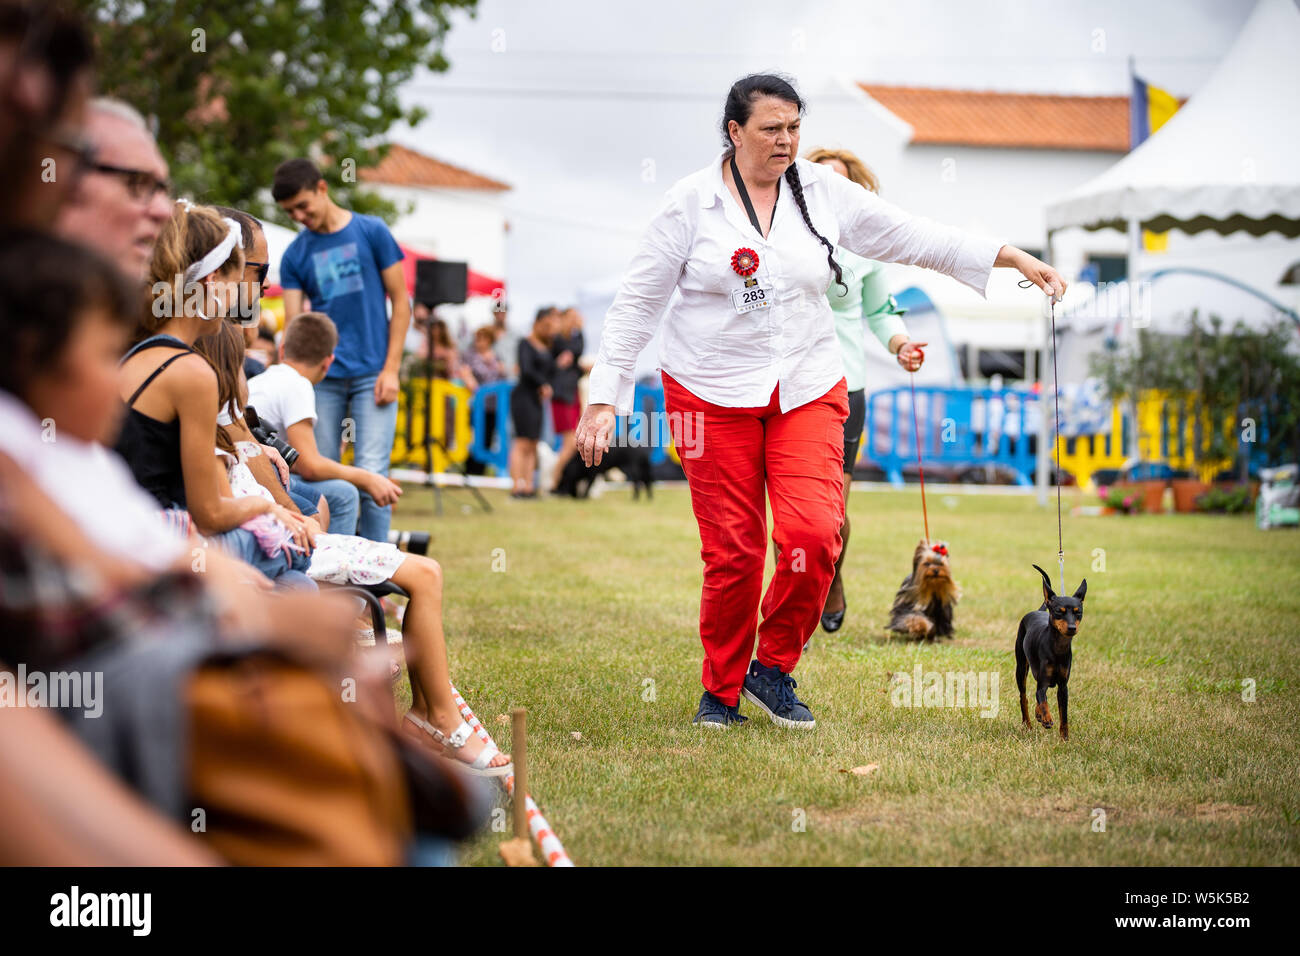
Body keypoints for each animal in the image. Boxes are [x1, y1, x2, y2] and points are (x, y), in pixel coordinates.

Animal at [1013, 567, 1086, 738]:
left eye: (1078, 612)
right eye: (1059, 611)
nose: (1072, 628)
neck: (1057, 648)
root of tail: (1038, 610)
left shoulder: (1063, 687)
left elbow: (1063, 716)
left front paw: (1064, 738)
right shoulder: (1043, 683)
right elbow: (1042, 699)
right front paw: (1046, 718)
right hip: (1021, 668)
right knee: (1024, 697)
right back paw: (1028, 724)